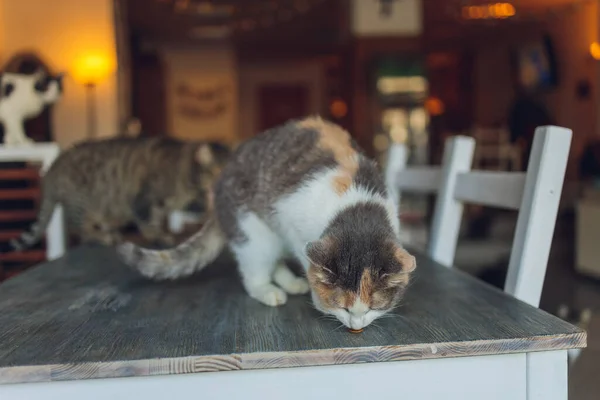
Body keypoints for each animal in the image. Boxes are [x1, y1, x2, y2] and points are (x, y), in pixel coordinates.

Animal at [1, 136, 231, 252]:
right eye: (217, 171)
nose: (223, 185)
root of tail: (51, 170)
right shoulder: (144, 200)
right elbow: (149, 222)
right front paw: (158, 237)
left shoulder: (183, 201)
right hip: (80, 201)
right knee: (81, 230)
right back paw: (102, 237)